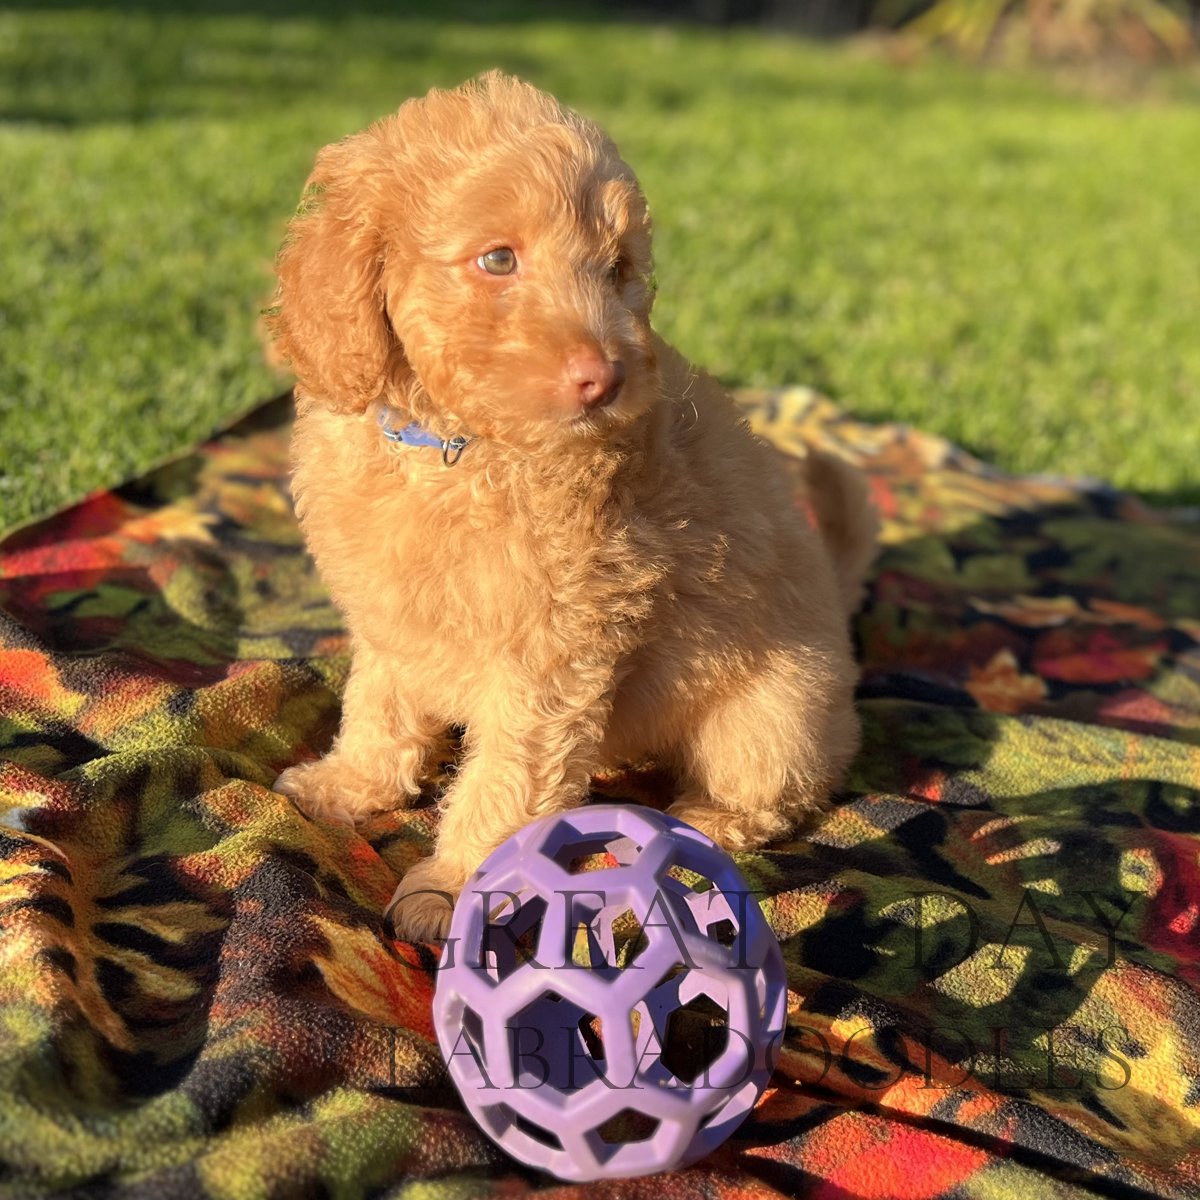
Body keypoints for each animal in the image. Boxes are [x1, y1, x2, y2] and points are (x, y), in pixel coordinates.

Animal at [270, 72, 873, 945]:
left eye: (617, 268)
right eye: (497, 259)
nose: (607, 378)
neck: (454, 449)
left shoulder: (552, 653)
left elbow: (504, 781)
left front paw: (454, 888)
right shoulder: (393, 620)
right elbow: (379, 709)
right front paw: (347, 786)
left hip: (773, 712)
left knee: (777, 788)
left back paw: (705, 823)